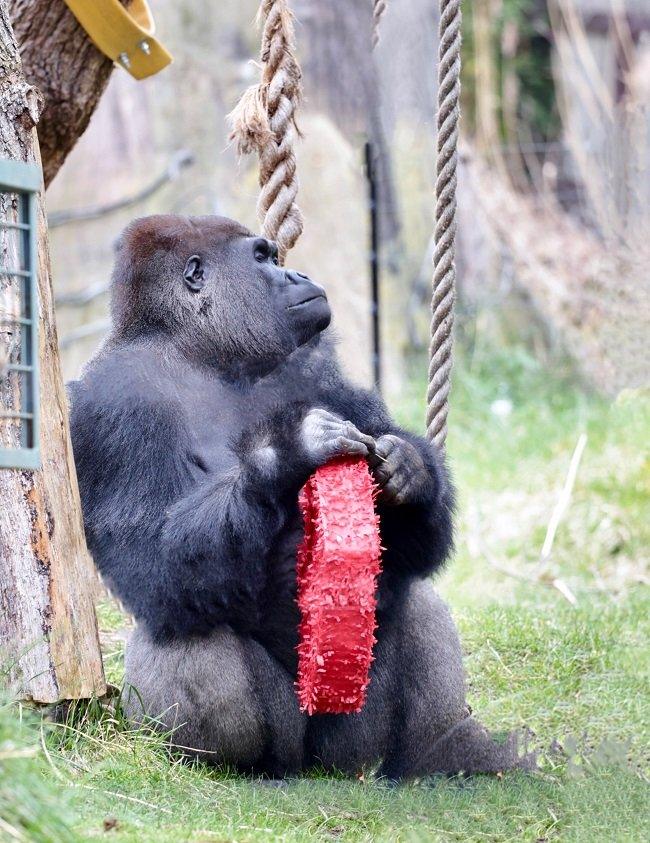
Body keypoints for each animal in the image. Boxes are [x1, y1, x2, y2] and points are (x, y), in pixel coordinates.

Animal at [68, 214, 528, 780]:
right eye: (262, 259)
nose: (298, 274)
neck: (200, 350)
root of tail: (311, 766)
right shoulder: (110, 402)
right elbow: (153, 561)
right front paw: (289, 452)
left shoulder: (319, 362)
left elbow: (414, 546)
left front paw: (413, 472)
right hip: (288, 740)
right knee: (184, 626)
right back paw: (236, 767)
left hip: (349, 742)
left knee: (414, 600)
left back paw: (438, 749)